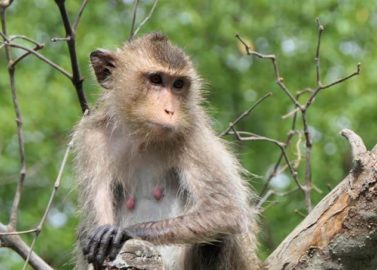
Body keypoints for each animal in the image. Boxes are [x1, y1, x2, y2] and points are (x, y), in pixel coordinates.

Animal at [73, 32, 258, 270]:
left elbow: (227, 212)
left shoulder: (193, 136)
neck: (142, 138)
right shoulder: (92, 139)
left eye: (178, 84)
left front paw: (124, 232)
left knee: (219, 237)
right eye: (156, 80)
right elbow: (95, 225)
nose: (170, 110)